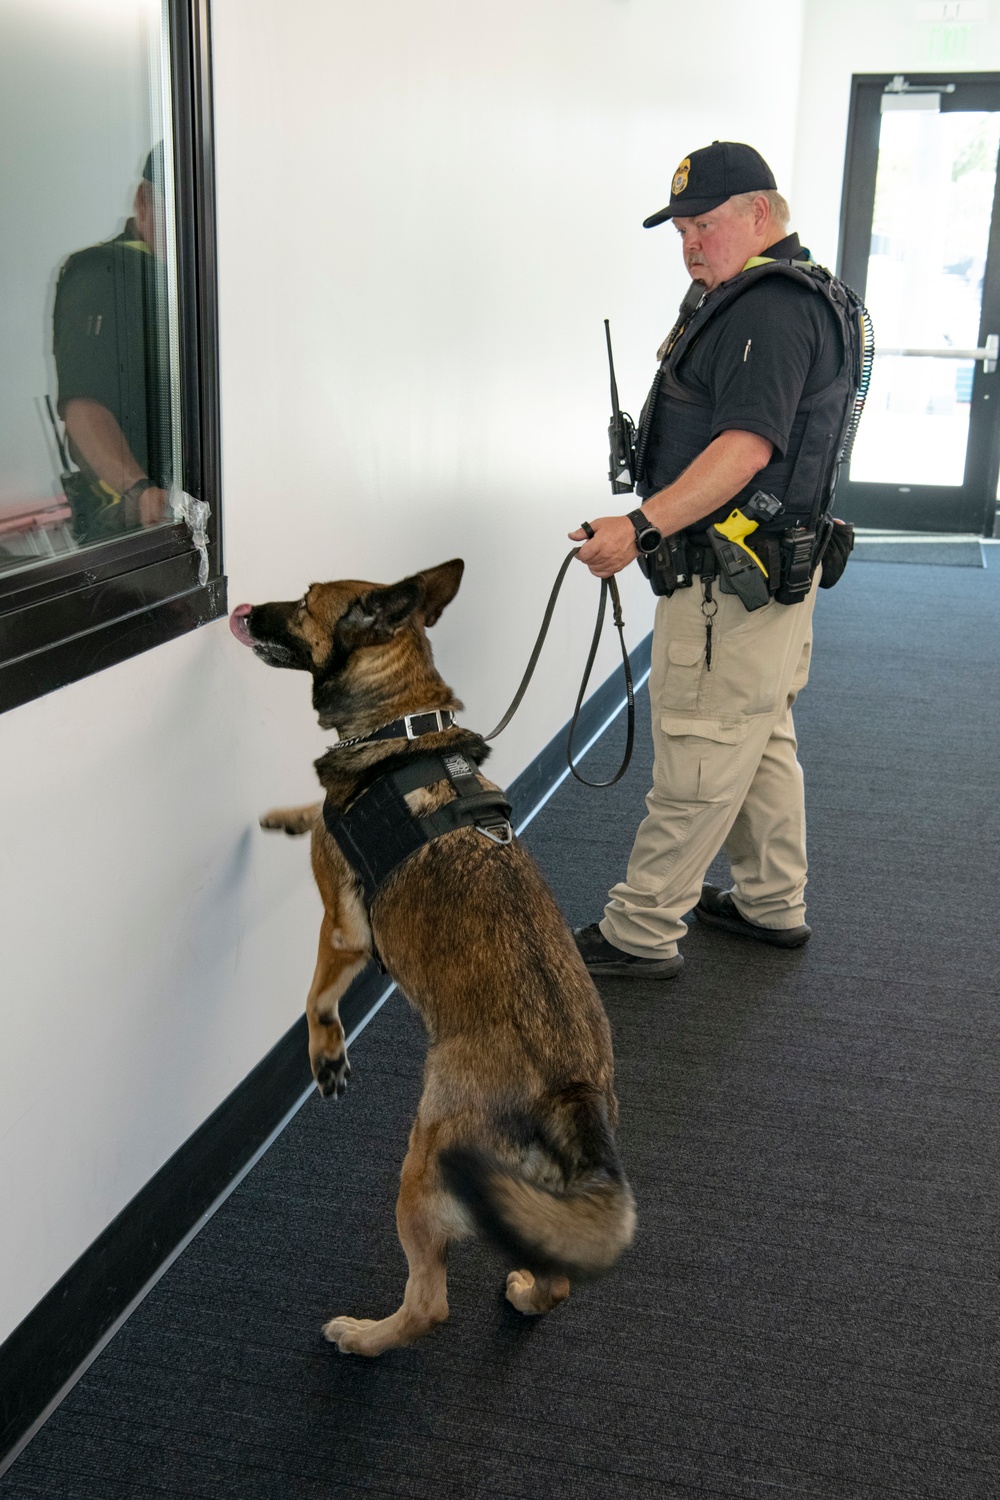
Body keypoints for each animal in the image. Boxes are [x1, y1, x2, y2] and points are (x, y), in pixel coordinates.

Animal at [230, 558, 632, 1356]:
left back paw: (365, 1337)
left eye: (303, 604)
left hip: (421, 1173)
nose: (245, 609)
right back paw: (527, 1292)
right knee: (556, 1278)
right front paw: (288, 815)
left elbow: (316, 999)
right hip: (525, 1204)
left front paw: (325, 1054)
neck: (406, 720)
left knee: (429, 1304)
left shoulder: (344, 930)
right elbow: (316, 813)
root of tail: (570, 1093)